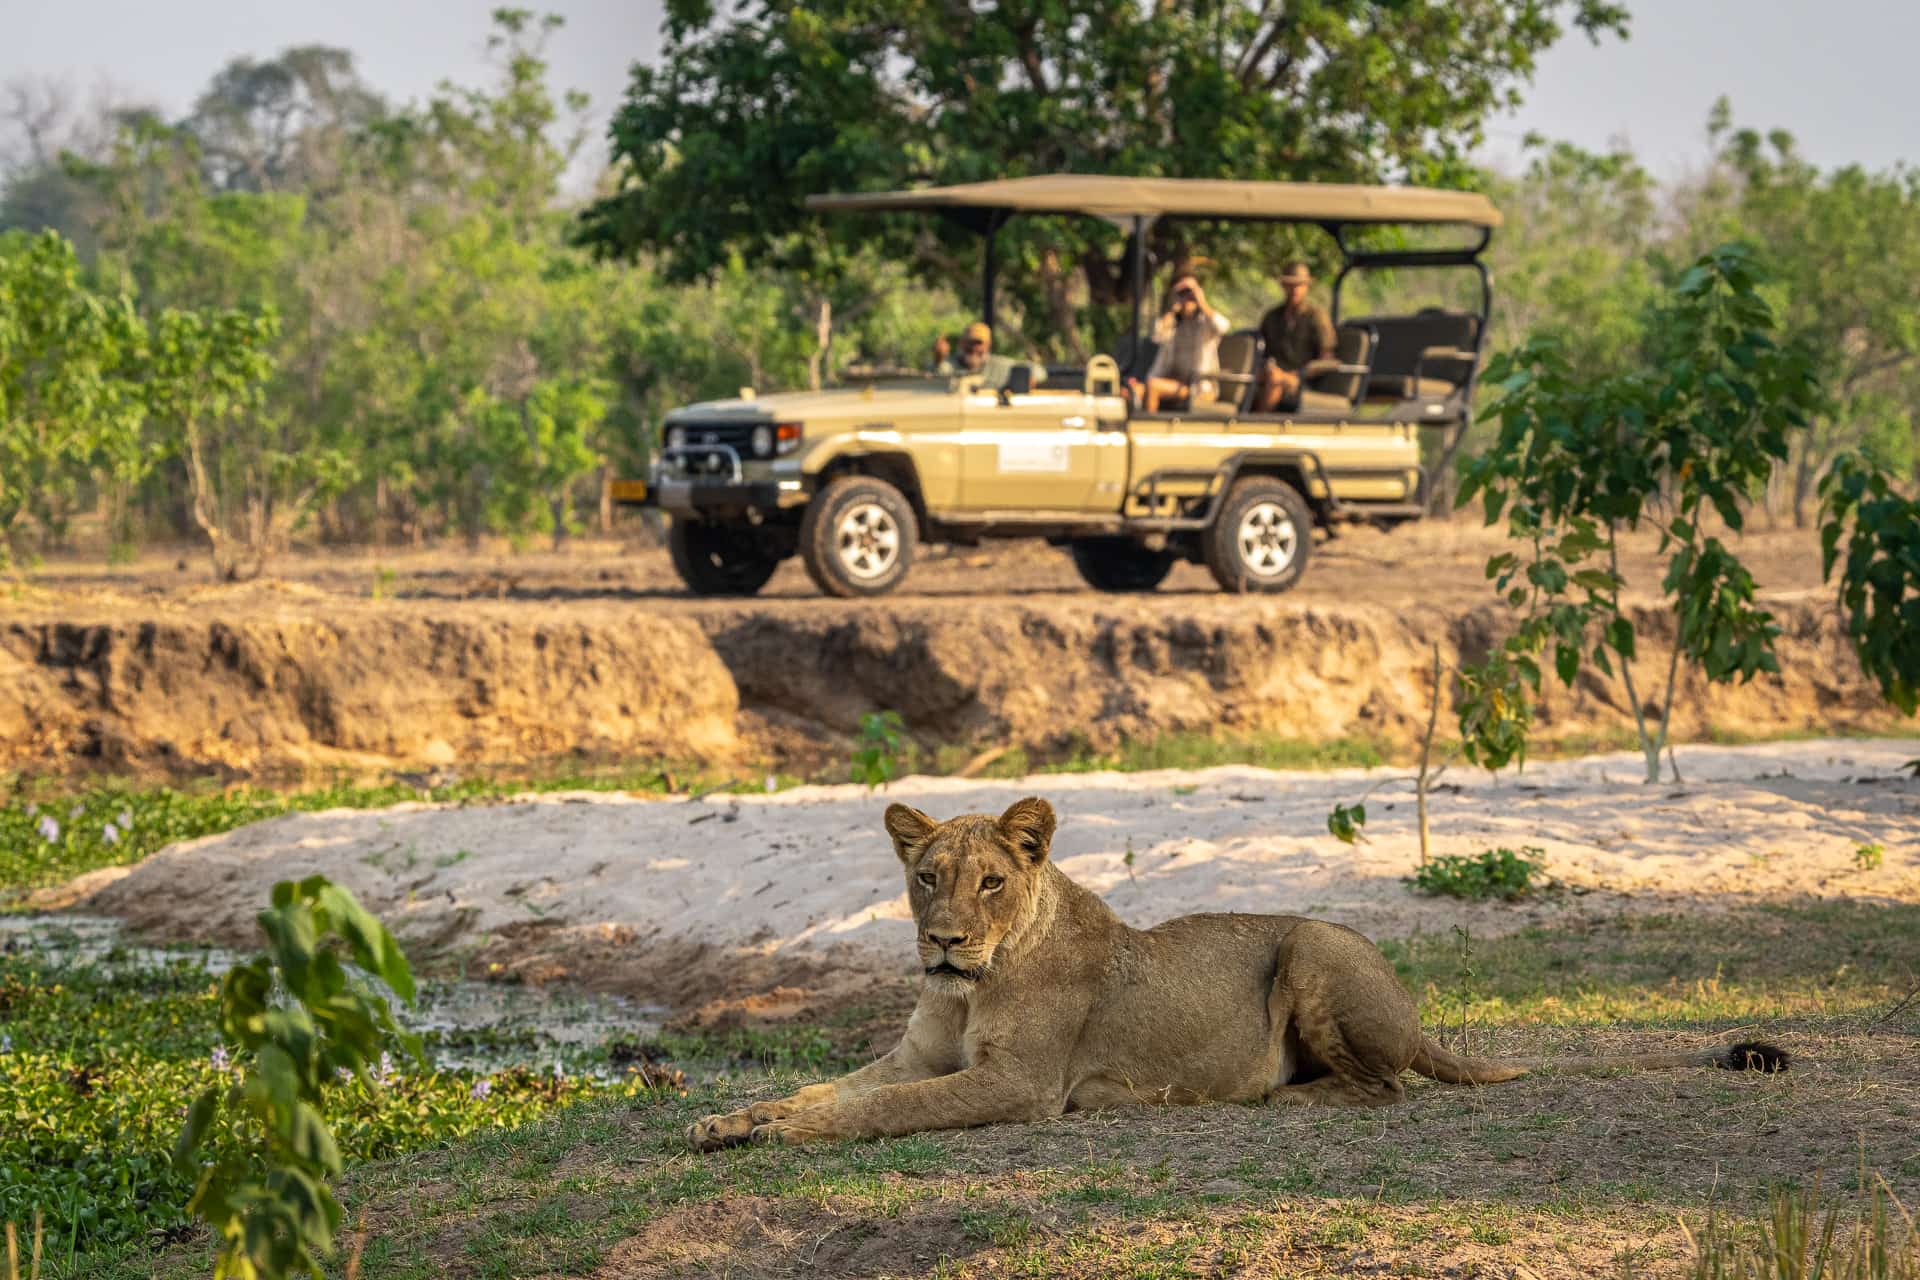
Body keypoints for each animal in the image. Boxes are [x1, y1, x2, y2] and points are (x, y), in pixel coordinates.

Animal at [688, 797, 1787, 1150]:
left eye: (992, 881)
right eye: (927, 879)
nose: (945, 941)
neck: (969, 990)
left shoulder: (1021, 1085)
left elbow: (879, 1110)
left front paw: (772, 1133)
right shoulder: (922, 1052)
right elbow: (832, 1088)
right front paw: (732, 1120)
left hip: (1311, 947)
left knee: (1383, 1087)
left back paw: (1284, 1097)